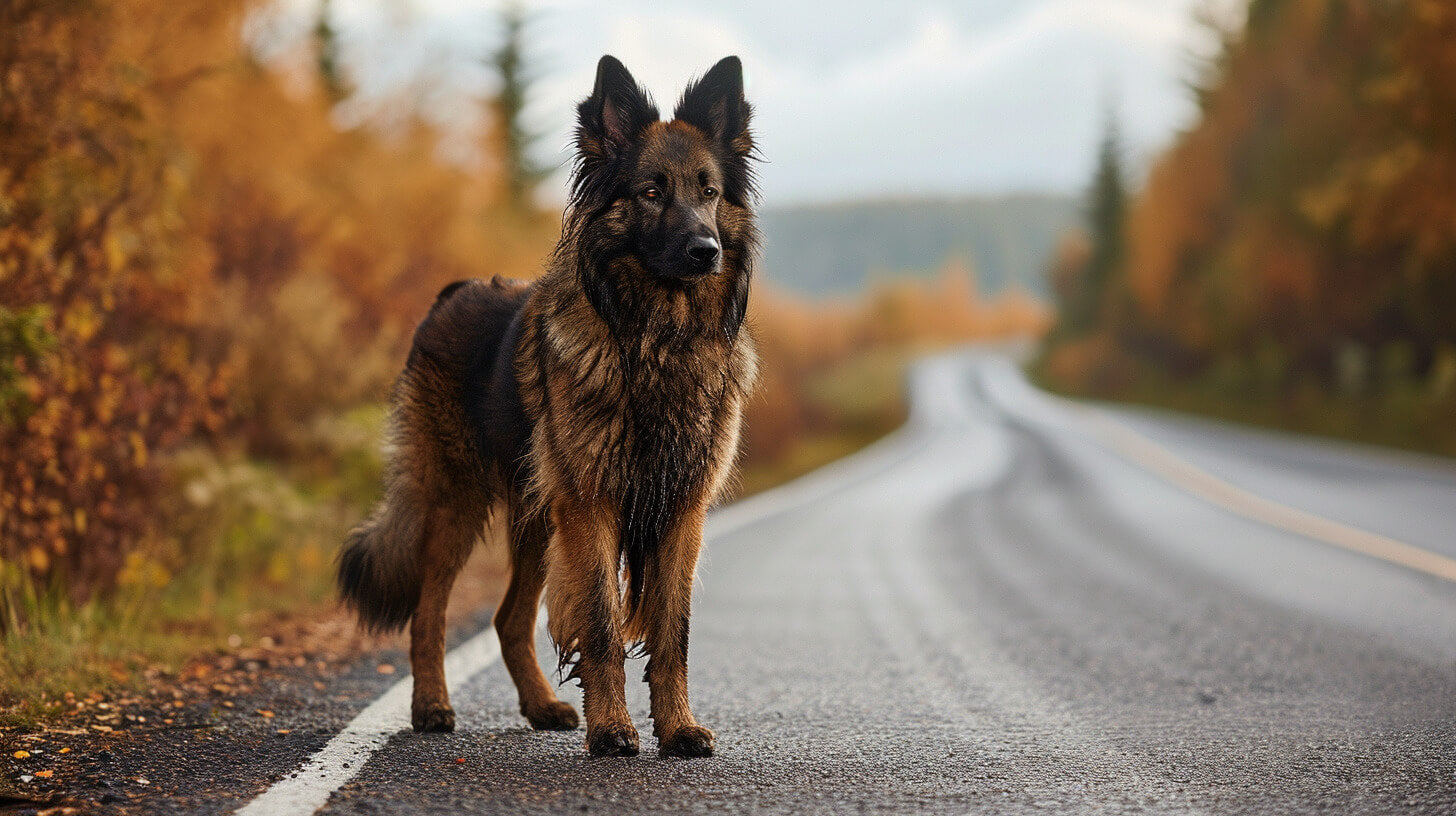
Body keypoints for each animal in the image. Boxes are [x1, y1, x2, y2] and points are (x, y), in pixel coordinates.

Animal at [333, 55, 757, 757]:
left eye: (710, 192)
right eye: (651, 192)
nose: (707, 251)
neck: (655, 340)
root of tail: (451, 293)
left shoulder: (680, 509)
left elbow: (672, 632)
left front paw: (676, 728)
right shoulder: (592, 504)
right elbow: (603, 624)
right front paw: (612, 729)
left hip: (536, 518)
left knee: (507, 619)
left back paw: (539, 705)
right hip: (456, 502)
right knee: (428, 612)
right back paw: (432, 707)